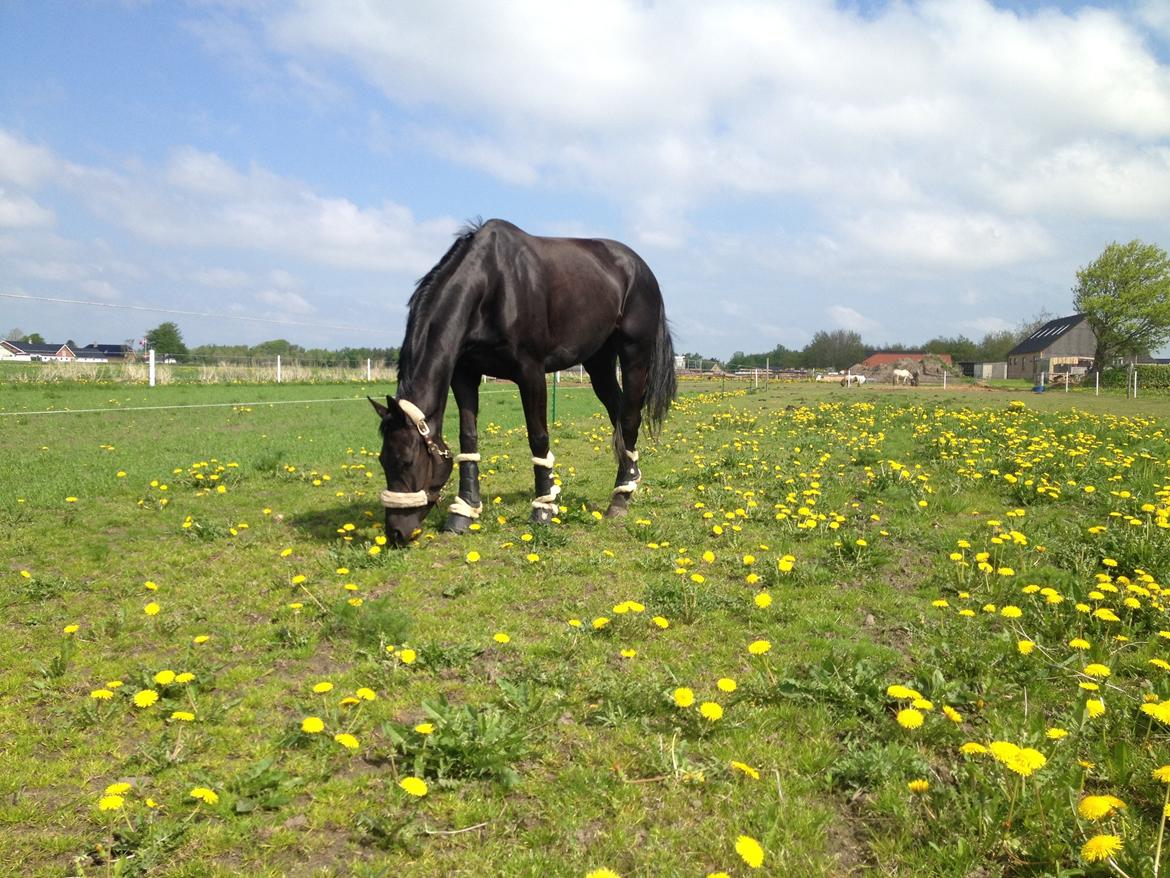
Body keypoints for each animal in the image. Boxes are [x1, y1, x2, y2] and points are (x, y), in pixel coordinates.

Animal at [365, 218, 678, 547]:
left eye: (407, 461)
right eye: (382, 461)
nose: (396, 532)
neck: (491, 284)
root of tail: (640, 267)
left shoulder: (531, 371)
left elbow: (538, 437)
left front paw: (543, 508)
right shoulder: (465, 374)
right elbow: (468, 438)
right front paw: (464, 511)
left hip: (634, 356)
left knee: (629, 418)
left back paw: (619, 501)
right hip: (599, 362)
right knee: (618, 413)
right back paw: (629, 479)